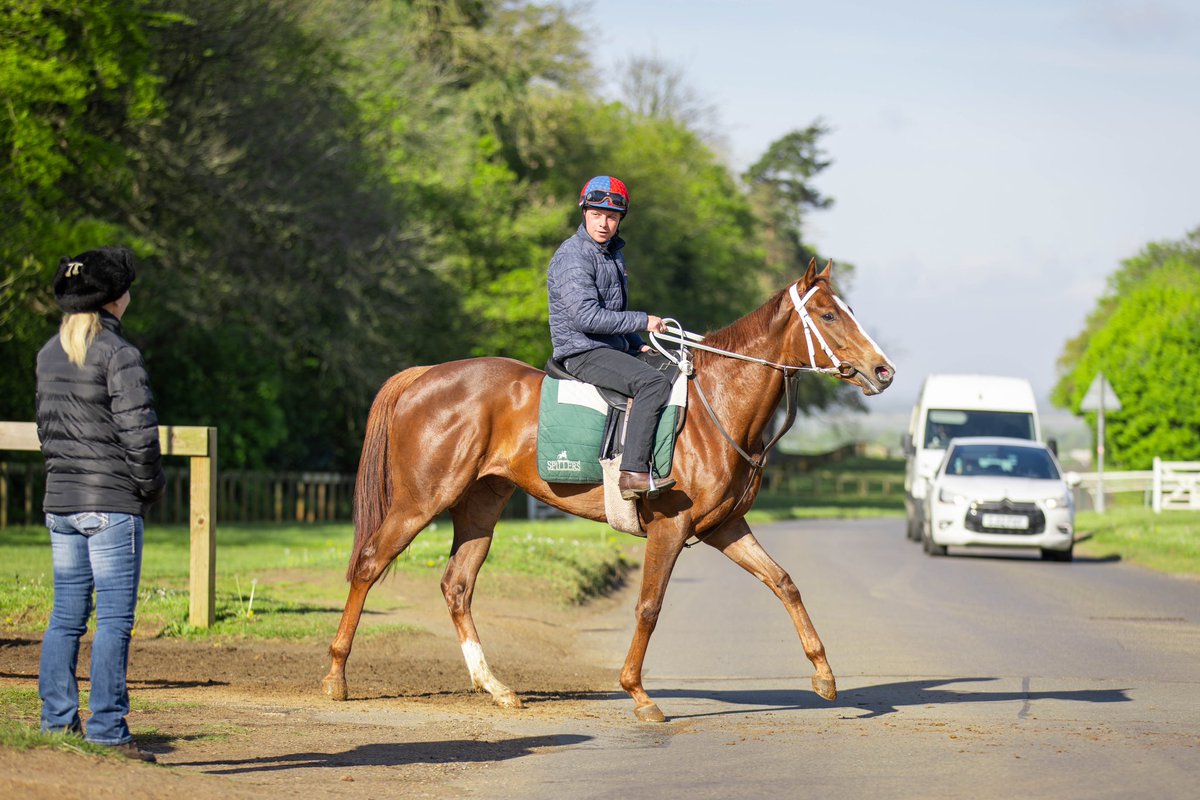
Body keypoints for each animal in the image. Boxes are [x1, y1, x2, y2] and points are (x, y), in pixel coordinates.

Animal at [319, 260, 892, 724]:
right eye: (829, 315)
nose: (882, 371)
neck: (715, 407)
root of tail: (423, 376)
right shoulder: (671, 528)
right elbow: (649, 607)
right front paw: (638, 694)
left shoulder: (726, 527)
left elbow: (784, 583)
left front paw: (825, 675)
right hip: (421, 501)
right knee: (368, 564)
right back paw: (336, 677)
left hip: (481, 504)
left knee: (457, 585)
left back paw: (496, 688)